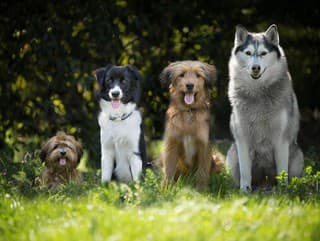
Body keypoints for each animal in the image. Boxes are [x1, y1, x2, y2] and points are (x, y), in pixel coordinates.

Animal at [159, 60, 222, 190]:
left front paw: (201, 189)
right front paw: (166, 188)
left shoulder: (204, 145)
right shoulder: (171, 144)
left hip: (217, 158)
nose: (189, 85)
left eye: (198, 75)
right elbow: (169, 169)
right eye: (182, 75)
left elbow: (202, 170)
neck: (189, 111)